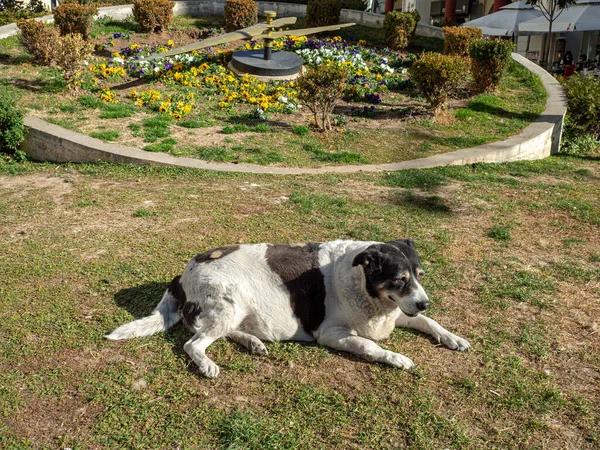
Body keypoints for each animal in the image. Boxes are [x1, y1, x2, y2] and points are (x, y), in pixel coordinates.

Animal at [105, 239, 472, 376]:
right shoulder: (332, 334)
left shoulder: (401, 312)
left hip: (233, 311)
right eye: (398, 280)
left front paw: (453, 338)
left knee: (219, 333)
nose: (425, 300)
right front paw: (397, 358)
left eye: (420, 276)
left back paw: (253, 342)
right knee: (193, 342)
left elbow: (430, 323)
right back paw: (208, 364)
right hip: (228, 301)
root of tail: (181, 274)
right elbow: (371, 347)